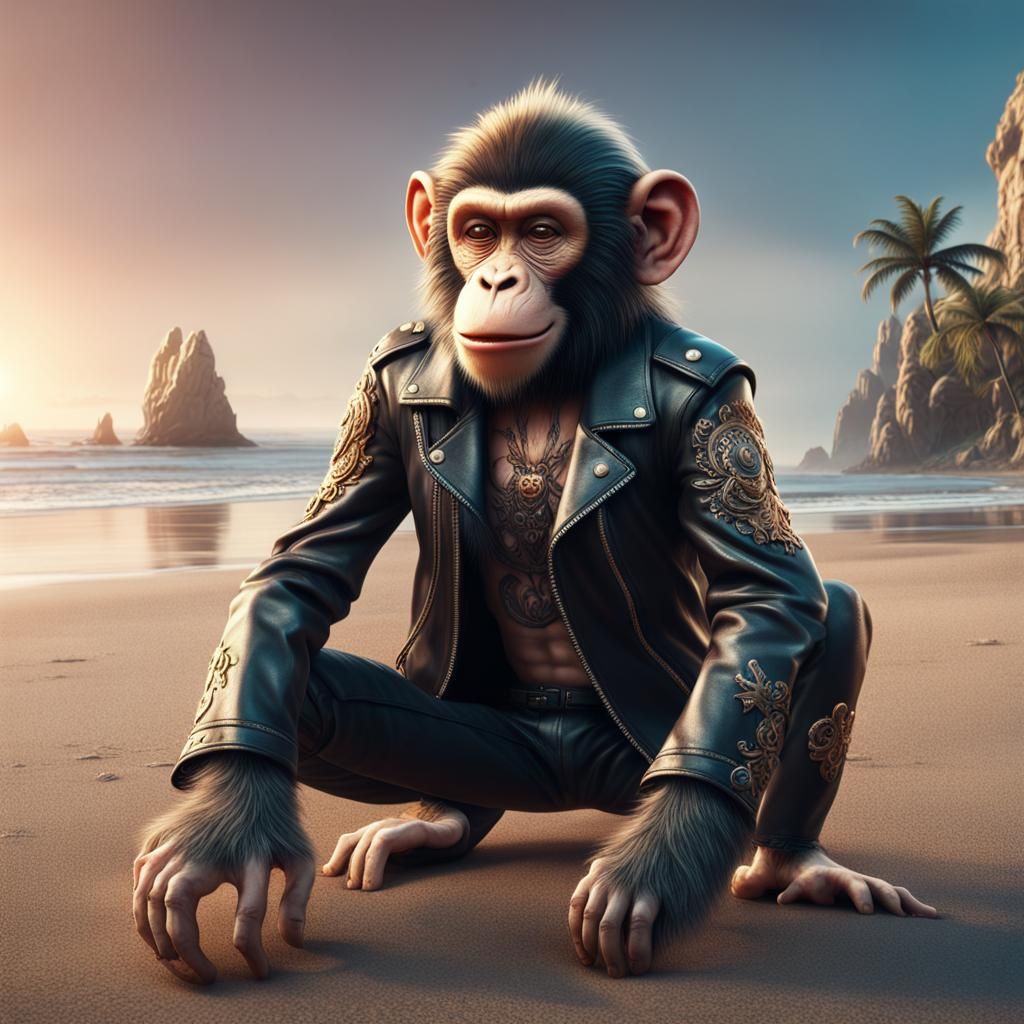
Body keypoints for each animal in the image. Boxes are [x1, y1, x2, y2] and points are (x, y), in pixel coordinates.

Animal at [134, 80, 937, 986]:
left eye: (546, 233)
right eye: (480, 230)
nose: (497, 276)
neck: (555, 380)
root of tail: (563, 778)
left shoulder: (715, 395)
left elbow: (770, 594)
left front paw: (653, 871)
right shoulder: (378, 384)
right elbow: (299, 570)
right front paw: (223, 836)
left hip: (635, 761)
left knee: (833, 606)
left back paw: (791, 861)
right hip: (488, 753)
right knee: (309, 690)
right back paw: (437, 818)